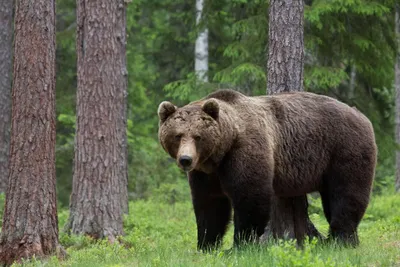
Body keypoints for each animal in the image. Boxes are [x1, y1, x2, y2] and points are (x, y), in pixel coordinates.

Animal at [158, 89, 376, 251]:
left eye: (198, 136)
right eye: (178, 135)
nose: (186, 160)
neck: (221, 151)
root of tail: (362, 115)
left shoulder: (245, 150)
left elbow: (250, 197)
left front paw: (240, 245)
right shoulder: (207, 173)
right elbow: (210, 204)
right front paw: (206, 245)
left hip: (344, 149)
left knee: (346, 194)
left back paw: (339, 239)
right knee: (332, 199)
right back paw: (350, 240)